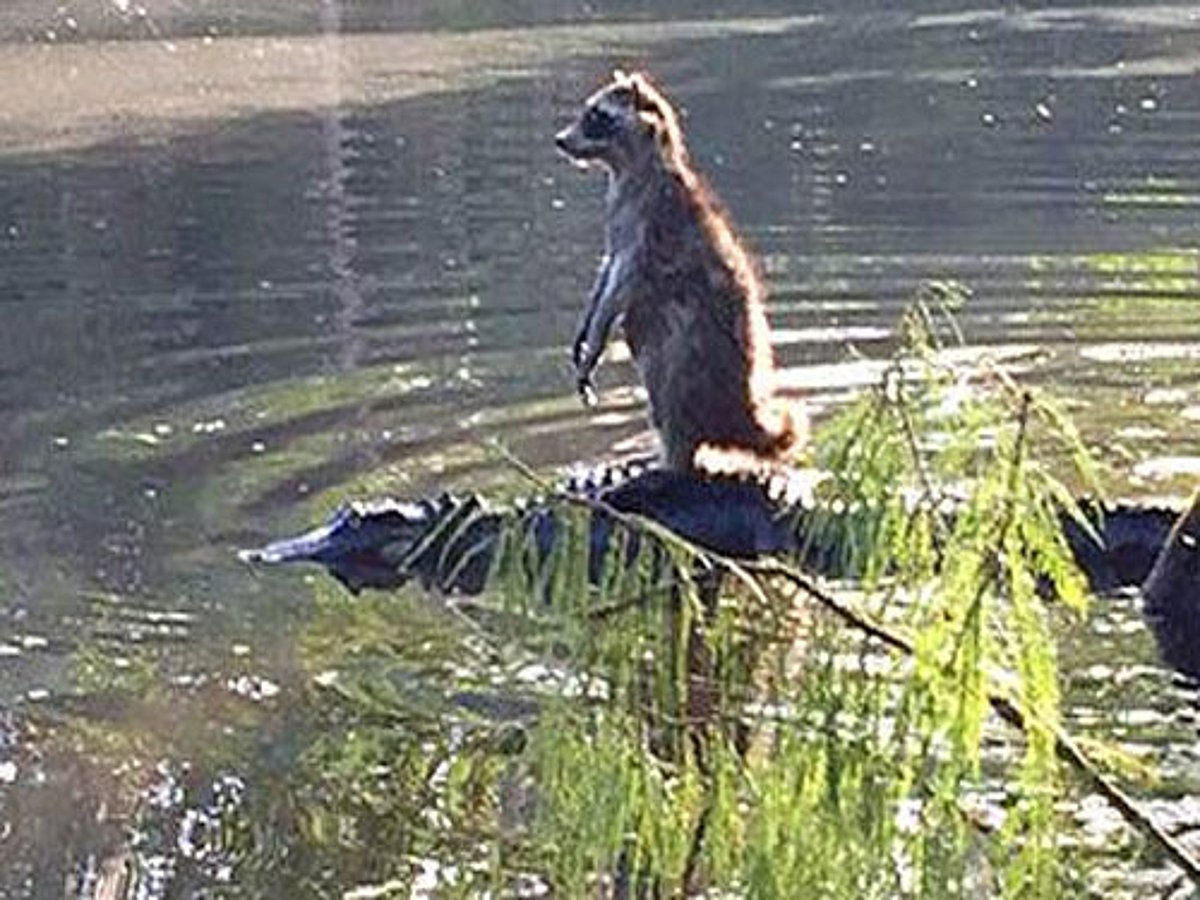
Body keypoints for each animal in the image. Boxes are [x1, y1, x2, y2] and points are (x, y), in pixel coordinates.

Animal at [555, 69, 805, 473]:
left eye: (596, 116)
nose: (560, 140)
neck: (629, 166)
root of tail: (740, 413)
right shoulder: (618, 219)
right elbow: (607, 269)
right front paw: (585, 326)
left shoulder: (648, 222)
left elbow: (620, 283)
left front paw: (595, 339)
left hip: (695, 355)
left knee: (672, 380)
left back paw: (671, 456)